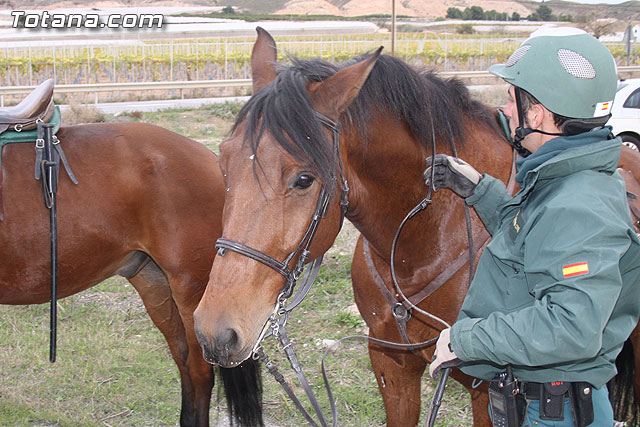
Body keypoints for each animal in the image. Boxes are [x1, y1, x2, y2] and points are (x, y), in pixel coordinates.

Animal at [193, 27, 640, 426]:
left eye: (303, 179)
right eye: (223, 163)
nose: (216, 333)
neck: (422, 245)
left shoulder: (486, 390)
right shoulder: (391, 365)